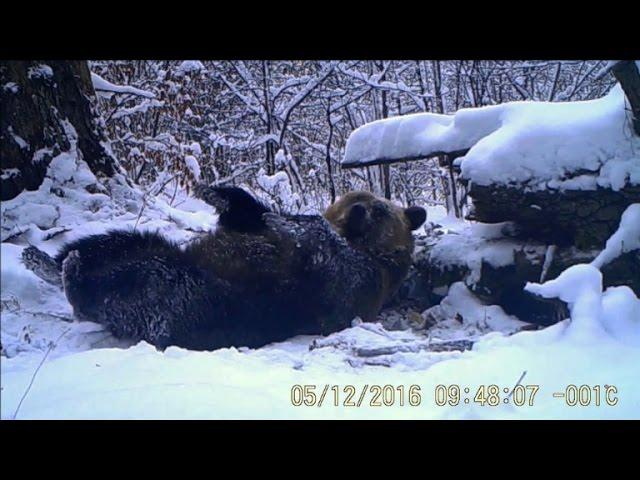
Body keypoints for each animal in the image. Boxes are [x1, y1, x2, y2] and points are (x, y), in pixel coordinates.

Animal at [22, 186, 428, 350]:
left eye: (380, 209)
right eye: (353, 198)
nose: (359, 209)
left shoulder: (356, 279)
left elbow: (321, 249)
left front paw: (285, 218)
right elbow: (246, 215)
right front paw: (219, 191)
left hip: (198, 296)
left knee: (141, 288)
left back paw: (72, 276)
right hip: (153, 246)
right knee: (111, 241)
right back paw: (46, 259)